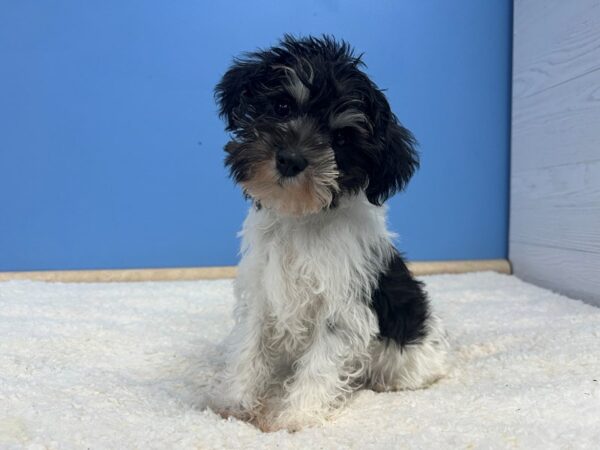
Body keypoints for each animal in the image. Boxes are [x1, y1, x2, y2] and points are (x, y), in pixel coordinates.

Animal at [210, 36, 446, 432]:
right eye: (282, 105)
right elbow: (248, 346)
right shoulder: (261, 291)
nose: (290, 159)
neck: (301, 218)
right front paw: (234, 405)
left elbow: (320, 363)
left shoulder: (344, 304)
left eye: (341, 138)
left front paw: (295, 417)